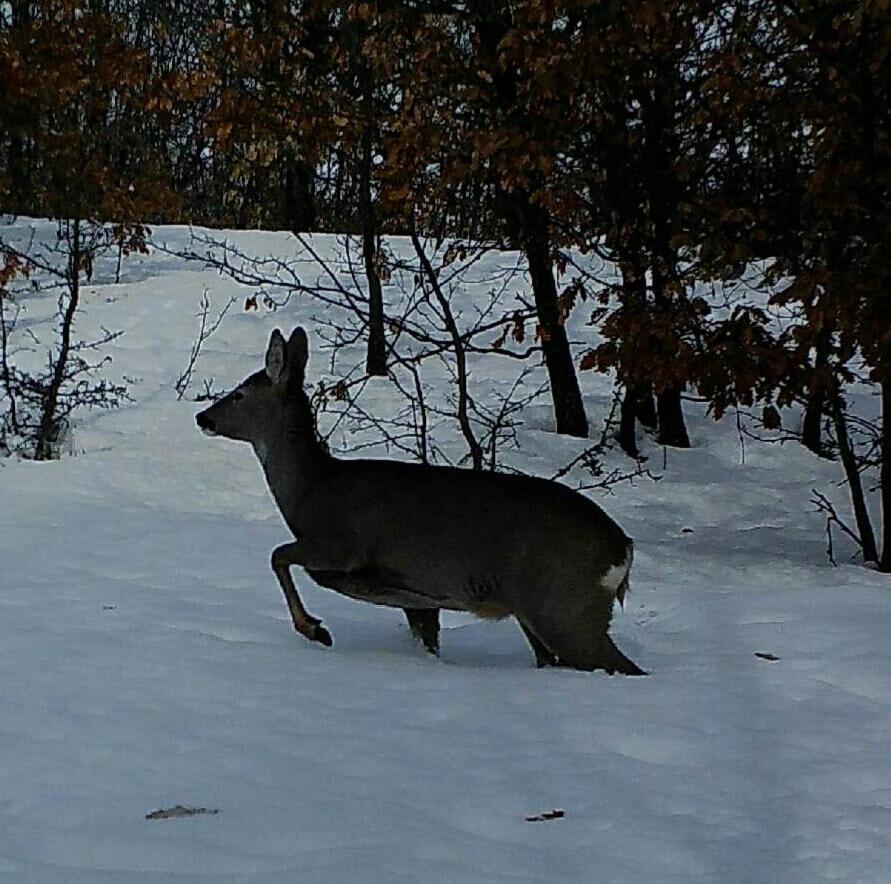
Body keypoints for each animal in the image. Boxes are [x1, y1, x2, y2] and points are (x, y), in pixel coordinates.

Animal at [195, 328, 644, 672]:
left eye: (238, 394)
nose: (203, 418)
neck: (312, 489)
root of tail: (622, 547)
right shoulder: (418, 596)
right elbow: (427, 639)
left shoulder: (341, 545)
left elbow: (277, 555)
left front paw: (316, 630)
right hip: (541, 614)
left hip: (564, 606)